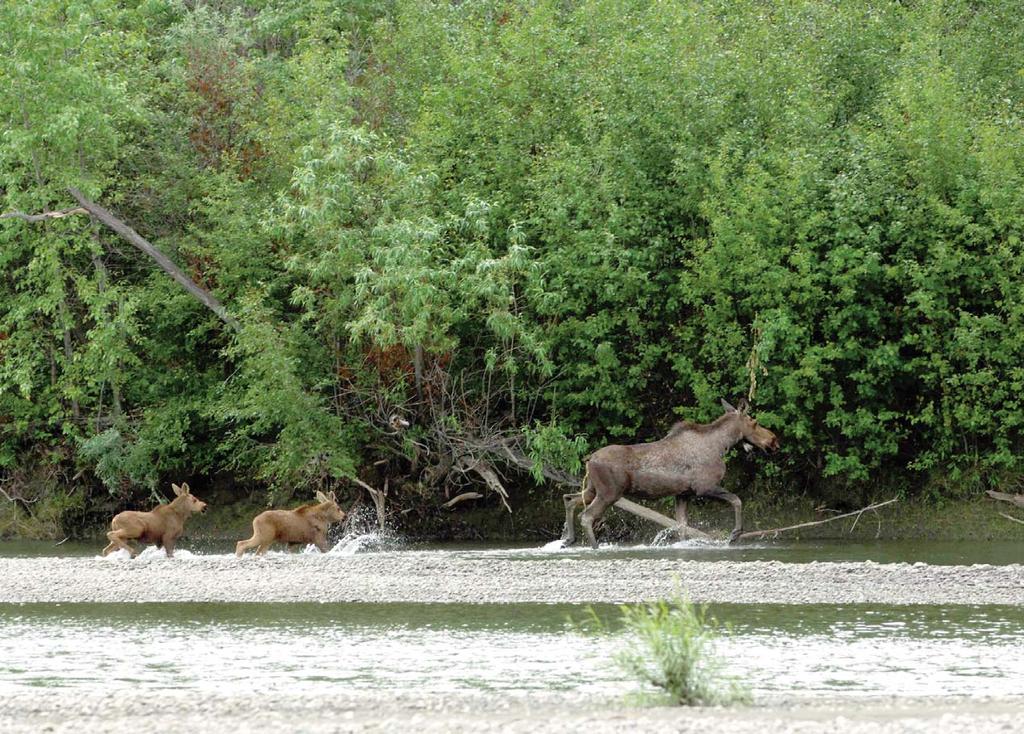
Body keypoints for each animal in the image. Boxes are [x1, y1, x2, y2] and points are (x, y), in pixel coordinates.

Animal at [561, 397, 774, 548]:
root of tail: (590, 459)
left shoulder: (683, 494)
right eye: (754, 422)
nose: (773, 440)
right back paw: (594, 546)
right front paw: (735, 534)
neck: (722, 446)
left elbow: (682, 526)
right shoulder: (704, 487)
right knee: (586, 516)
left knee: (569, 499)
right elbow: (737, 500)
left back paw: (568, 539)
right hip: (609, 492)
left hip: (593, 489)